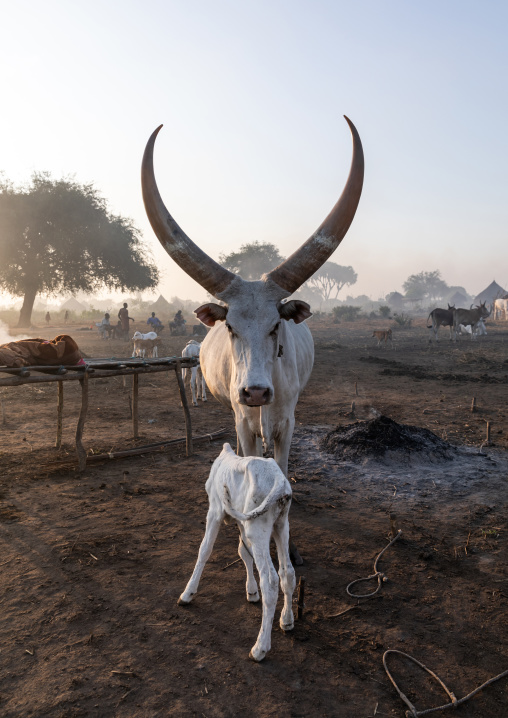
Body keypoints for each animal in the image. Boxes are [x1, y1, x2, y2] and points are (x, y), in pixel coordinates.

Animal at [142, 117, 364, 561]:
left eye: (276, 325)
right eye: (230, 327)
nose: (256, 391)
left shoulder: (288, 421)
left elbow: (281, 464)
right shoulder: (243, 421)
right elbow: (248, 459)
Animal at [177, 443, 295, 662]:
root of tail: (279, 481)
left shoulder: (214, 511)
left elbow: (204, 549)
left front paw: (188, 593)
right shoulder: (241, 521)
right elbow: (243, 551)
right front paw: (251, 591)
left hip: (257, 529)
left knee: (271, 581)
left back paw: (260, 648)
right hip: (281, 526)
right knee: (287, 573)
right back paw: (287, 620)